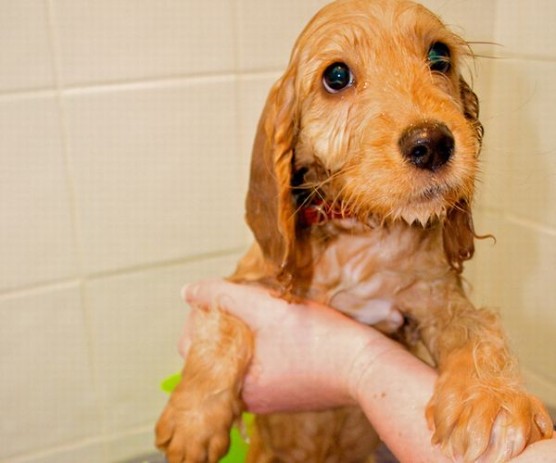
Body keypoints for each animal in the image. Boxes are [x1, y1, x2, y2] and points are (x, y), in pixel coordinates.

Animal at [155, 0, 552, 462]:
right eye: (337, 76)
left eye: (439, 57)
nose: (433, 143)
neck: (361, 228)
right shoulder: (245, 284)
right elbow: (222, 324)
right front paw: (193, 420)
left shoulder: (434, 297)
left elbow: (476, 327)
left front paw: (492, 400)